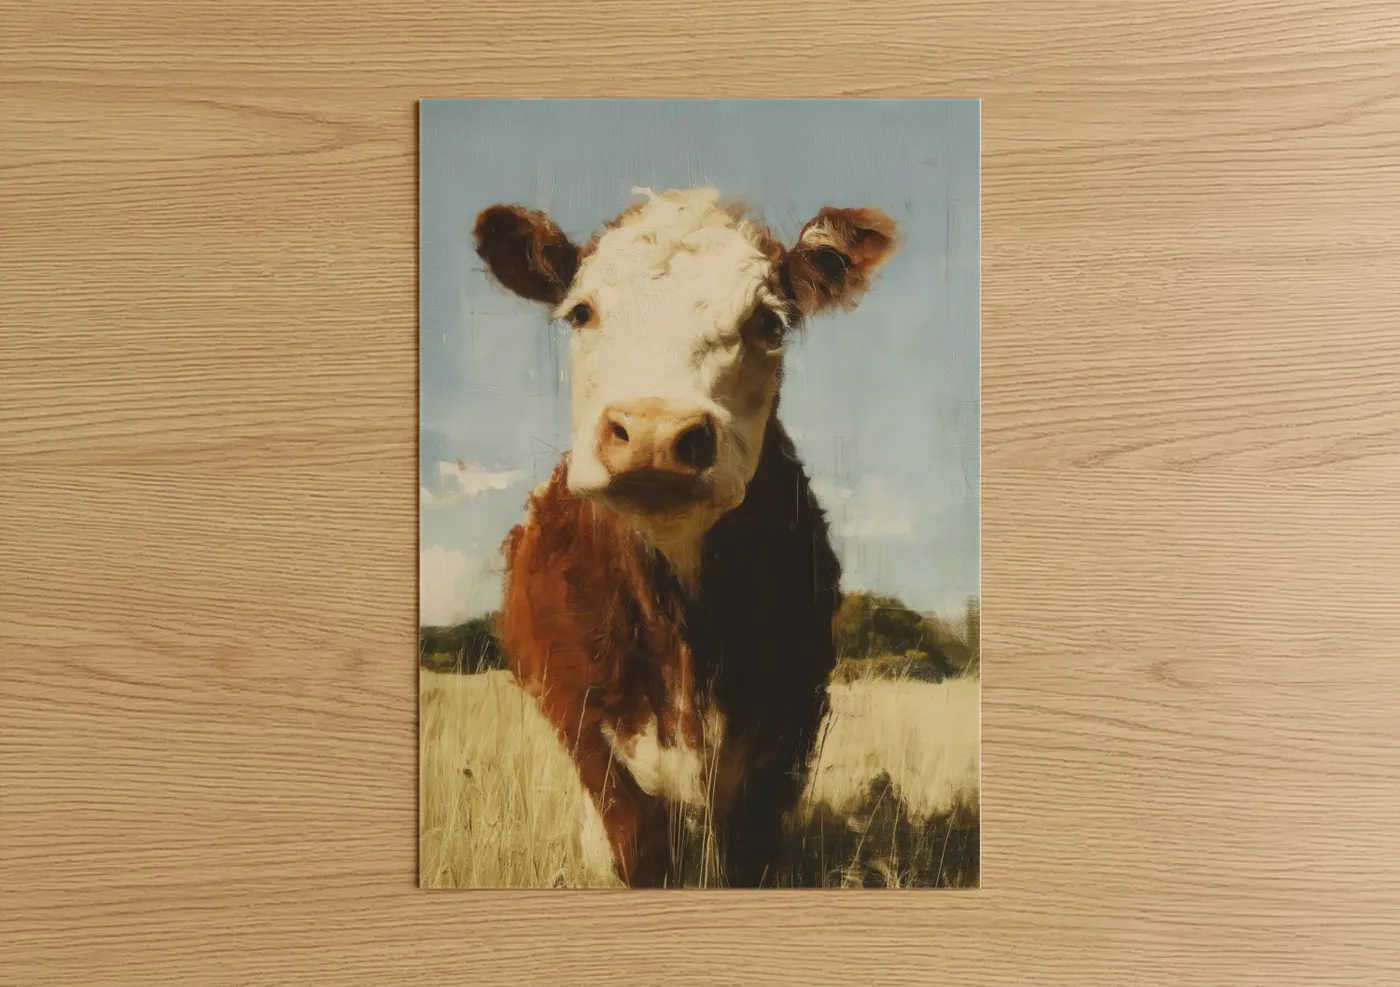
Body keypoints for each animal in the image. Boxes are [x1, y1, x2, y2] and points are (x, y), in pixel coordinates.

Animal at [472, 187, 898, 886]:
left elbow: (748, 852)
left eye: (768, 324)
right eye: (581, 312)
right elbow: (638, 844)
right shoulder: (583, 721)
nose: (653, 432)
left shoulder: (789, 719)